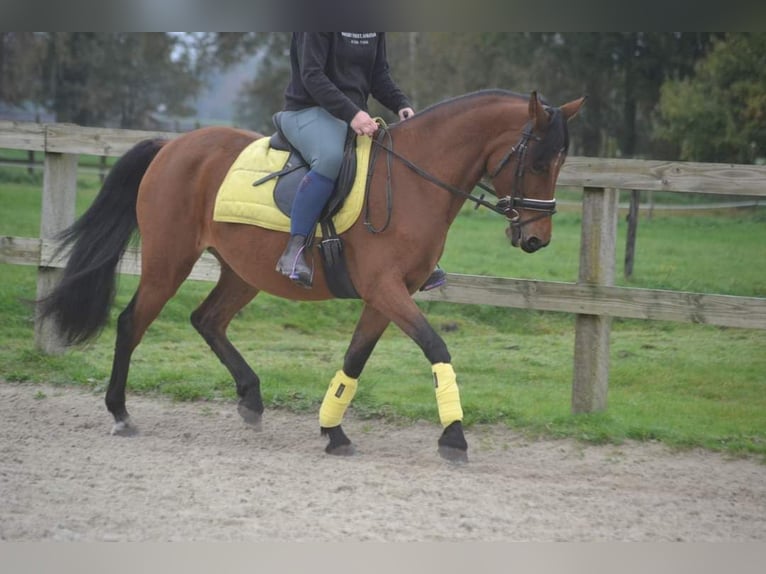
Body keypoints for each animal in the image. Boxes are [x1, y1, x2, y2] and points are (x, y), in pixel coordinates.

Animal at [39, 90, 584, 464]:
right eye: (538, 160)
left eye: (561, 162)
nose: (536, 239)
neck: (413, 180)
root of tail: (172, 147)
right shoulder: (386, 289)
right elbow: (436, 347)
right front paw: (453, 435)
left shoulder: (387, 295)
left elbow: (355, 359)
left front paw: (333, 431)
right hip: (168, 262)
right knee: (132, 322)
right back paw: (120, 413)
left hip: (244, 272)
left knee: (207, 320)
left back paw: (251, 399)